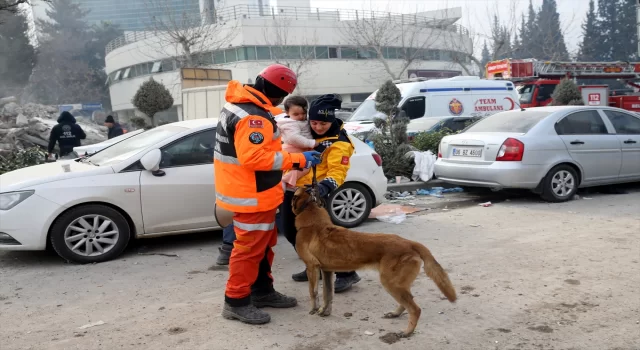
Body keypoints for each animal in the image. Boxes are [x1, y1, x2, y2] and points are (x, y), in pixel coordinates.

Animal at [292, 187, 458, 338]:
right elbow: (328, 294)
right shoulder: (327, 271)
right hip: (398, 284)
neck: (312, 218)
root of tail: (410, 243)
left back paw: (407, 331)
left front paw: (314, 309)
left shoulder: (312, 267)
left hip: (390, 282)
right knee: (408, 301)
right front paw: (325, 311)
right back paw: (396, 313)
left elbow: (313, 292)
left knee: (415, 309)